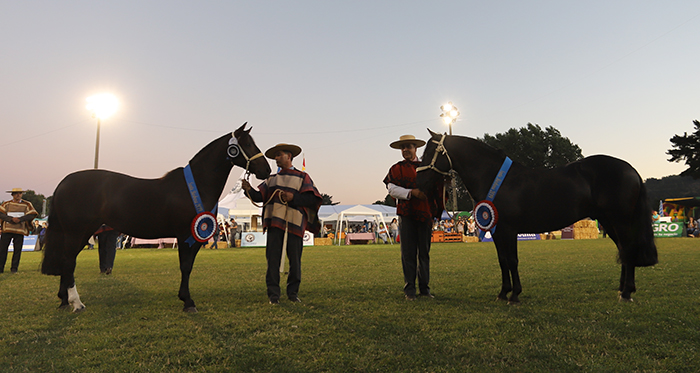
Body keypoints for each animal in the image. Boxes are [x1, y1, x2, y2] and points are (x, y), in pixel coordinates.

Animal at [41, 123, 270, 312]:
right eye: (247, 144)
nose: (266, 170)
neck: (197, 184)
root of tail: (64, 182)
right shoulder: (185, 235)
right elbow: (185, 266)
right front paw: (188, 302)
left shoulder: (195, 236)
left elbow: (188, 266)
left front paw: (185, 299)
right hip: (77, 231)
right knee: (68, 262)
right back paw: (77, 303)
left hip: (79, 233)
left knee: (66, 261)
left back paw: (64, 300)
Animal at [418, 129, 660, 304]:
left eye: (431, 152)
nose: (419, 179)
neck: (494, 176)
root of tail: (630, 169)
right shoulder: (496, 230)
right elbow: (502, 260)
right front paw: (503, 293)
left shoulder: (508, 229)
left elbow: (512, 260)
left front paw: (514, 295)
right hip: (610, 222)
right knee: (624, 250)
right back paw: (622, 290)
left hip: (620, 220)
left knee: (628, 249)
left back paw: (626, 293)